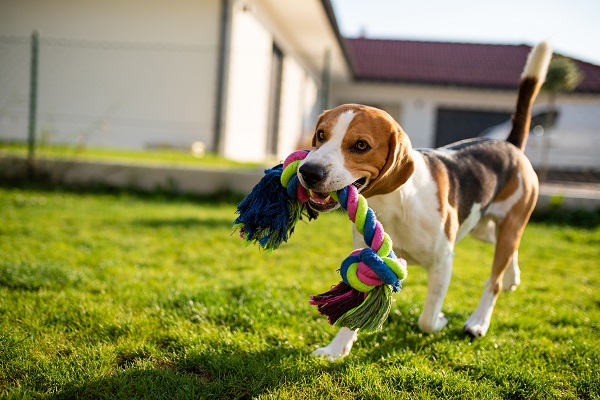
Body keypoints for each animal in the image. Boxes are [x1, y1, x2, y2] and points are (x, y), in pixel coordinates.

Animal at [298, 41, 552, 360]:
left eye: (361, 145)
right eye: (320, 134)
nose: (308, 172)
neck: (394, 204)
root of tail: (510, 145)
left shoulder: (443, 262)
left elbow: (427, 319)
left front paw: (441, 320)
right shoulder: (369, 259)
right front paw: (336, 348)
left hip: (510, 223)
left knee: (494, 279)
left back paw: (479, 321)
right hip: (481, 227)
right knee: (506, 248)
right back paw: (512, 278)